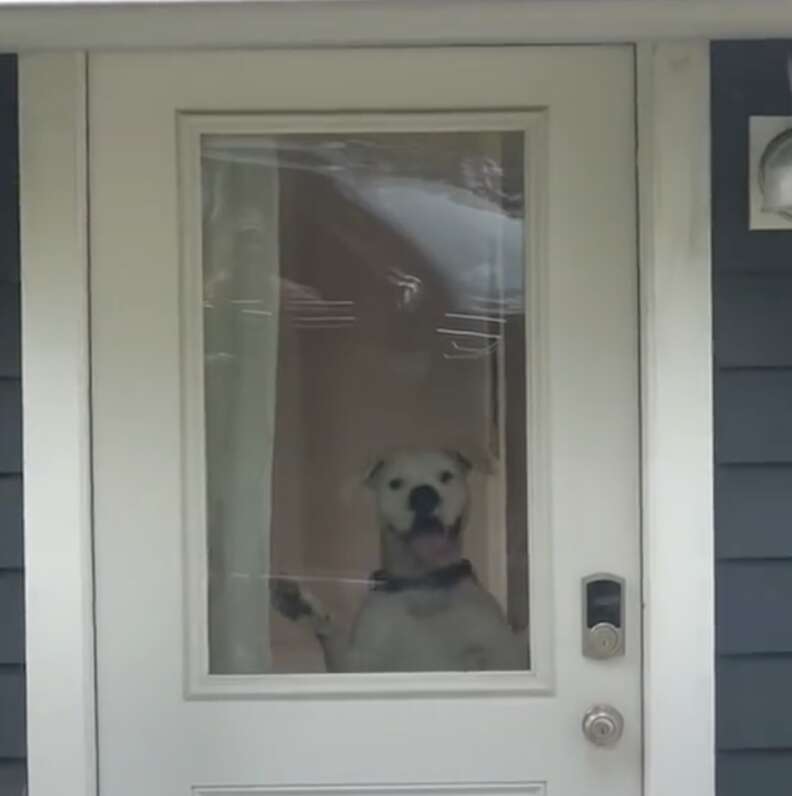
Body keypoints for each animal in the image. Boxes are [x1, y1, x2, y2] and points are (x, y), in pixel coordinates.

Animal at [272, 448, 524, 672]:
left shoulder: (504, 656)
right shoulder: (359, 664)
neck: (423, 584)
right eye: (395, 483)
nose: (423, 495)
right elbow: (333, 636)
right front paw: (301, 605)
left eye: (446, 476)